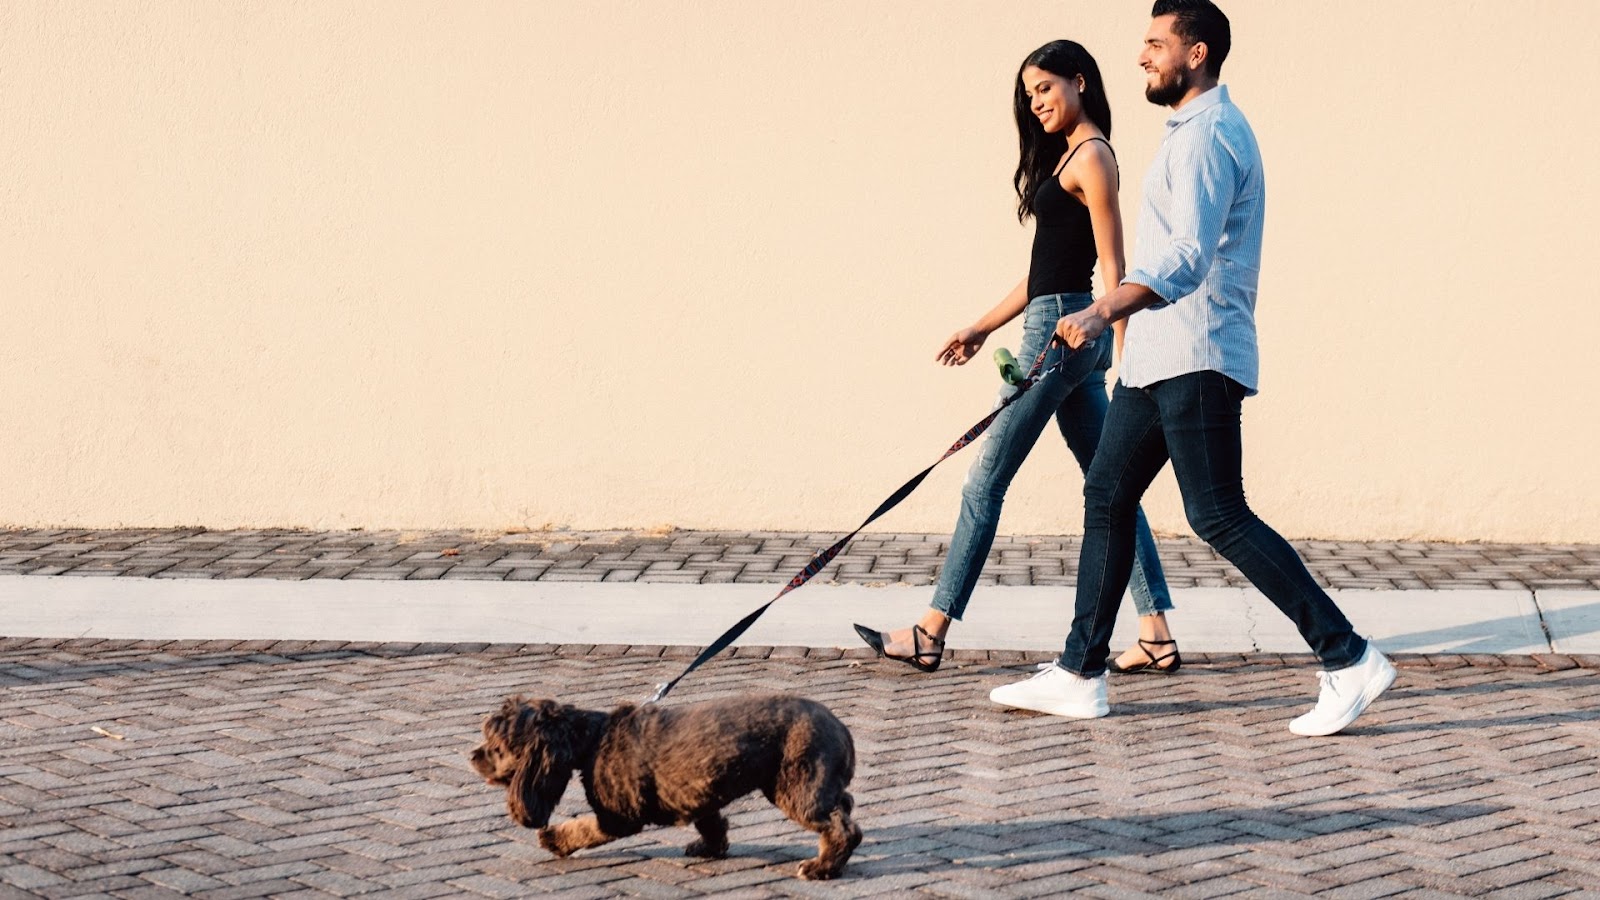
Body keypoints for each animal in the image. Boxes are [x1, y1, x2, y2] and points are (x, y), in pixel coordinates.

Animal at [467, 695, 864, 877]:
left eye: (496, 747)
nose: (472, 755)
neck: (593, 740)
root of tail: (841, 729)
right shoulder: (701, 791)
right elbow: (712, 823)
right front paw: (710, 847)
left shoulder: (618, 816)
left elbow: (584, 828)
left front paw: (554, 839)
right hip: (816, 784)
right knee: (844, 806)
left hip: (798, 788)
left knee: (842, 828)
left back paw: (823, 867)